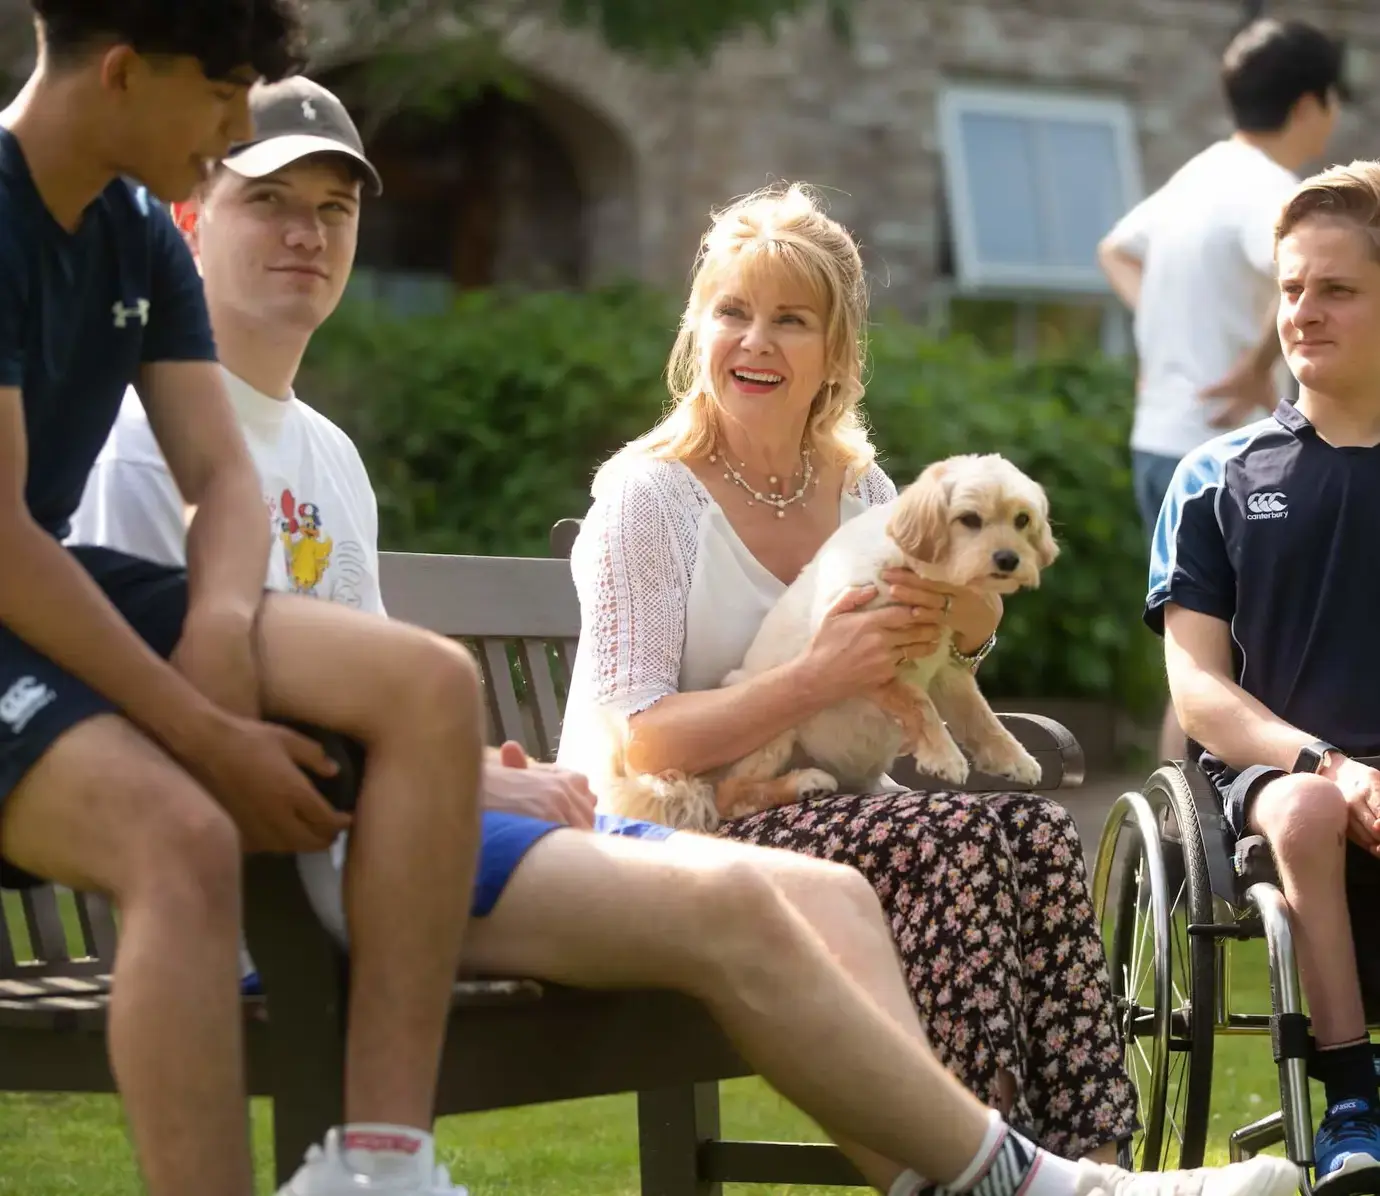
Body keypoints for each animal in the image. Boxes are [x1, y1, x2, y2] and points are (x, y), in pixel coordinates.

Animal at [598, 452, 1059, 827]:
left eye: (1022, 520)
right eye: (969, 519)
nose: (1008, 560)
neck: (922, 576)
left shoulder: (947, 669)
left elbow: (982, 717)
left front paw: (1014, 759)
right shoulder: (866, 658)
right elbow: (918, 704)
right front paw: (943, 755)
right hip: (771, 719)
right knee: (731, 795)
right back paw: (804, 782)